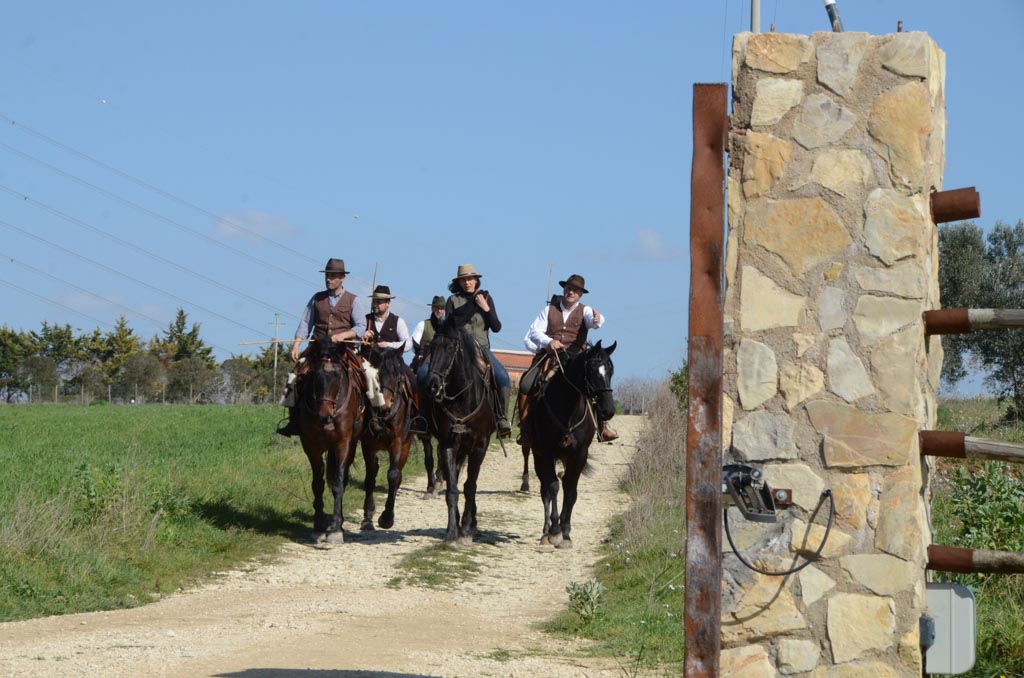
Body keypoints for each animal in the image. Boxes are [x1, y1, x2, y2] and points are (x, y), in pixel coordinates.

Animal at [296, 340, 368, 548]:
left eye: (337, 376)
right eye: (315, 375)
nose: (325, 416)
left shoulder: (342, 443)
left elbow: (337, 483)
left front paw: (336, 530)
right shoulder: (311, 446)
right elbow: (317, 484)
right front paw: (318, 527)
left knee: (342, 480)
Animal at [360, 348, 415, 532]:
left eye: (397, 377)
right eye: (377, 376)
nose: (384, 407)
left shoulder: (397, 443)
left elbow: (393, 475)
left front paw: (387, 517)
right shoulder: (368, 445)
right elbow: (370, 477)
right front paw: (367, 518)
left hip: (406, 446)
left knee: (398, 476)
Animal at [423, 323, 495, 548]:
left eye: (449, 348)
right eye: (431, 348)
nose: (432, 385)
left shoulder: (480, 447)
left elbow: (470, 487)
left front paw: (466, 530)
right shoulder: (448, 445)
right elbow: (452, 489)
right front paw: (452, 531)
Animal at [528, 342, 614, 548]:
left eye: (610, 371)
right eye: (592, 371)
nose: (608, 410)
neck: (568, 408)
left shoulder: (579, 454)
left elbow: (570, 489)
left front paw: (566, 533)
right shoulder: (547, 452)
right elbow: (553, 487)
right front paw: (554, 530)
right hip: (537, 455)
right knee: (545, 489)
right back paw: (546, 531)